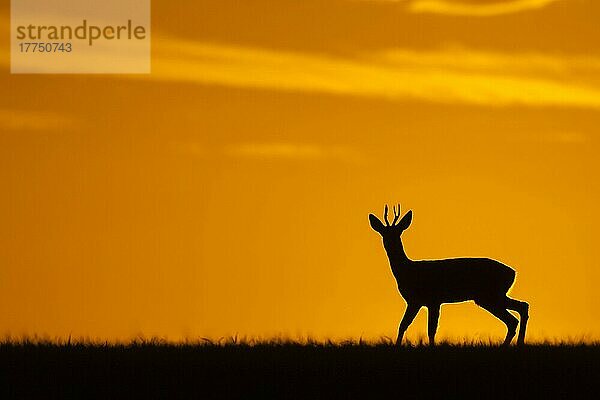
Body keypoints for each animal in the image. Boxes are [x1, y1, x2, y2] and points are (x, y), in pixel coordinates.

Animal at [368, 205, 528, 346]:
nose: (389, 242)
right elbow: (404, 325)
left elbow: (429, 329)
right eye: (384, 233)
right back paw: (517, 343)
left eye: (398, 232)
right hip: (493, 296)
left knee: (514, 318)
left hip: (489, 295)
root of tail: (513, 273)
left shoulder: (430, 300)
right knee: (521, 309)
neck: (406, 270)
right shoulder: (417, 302)